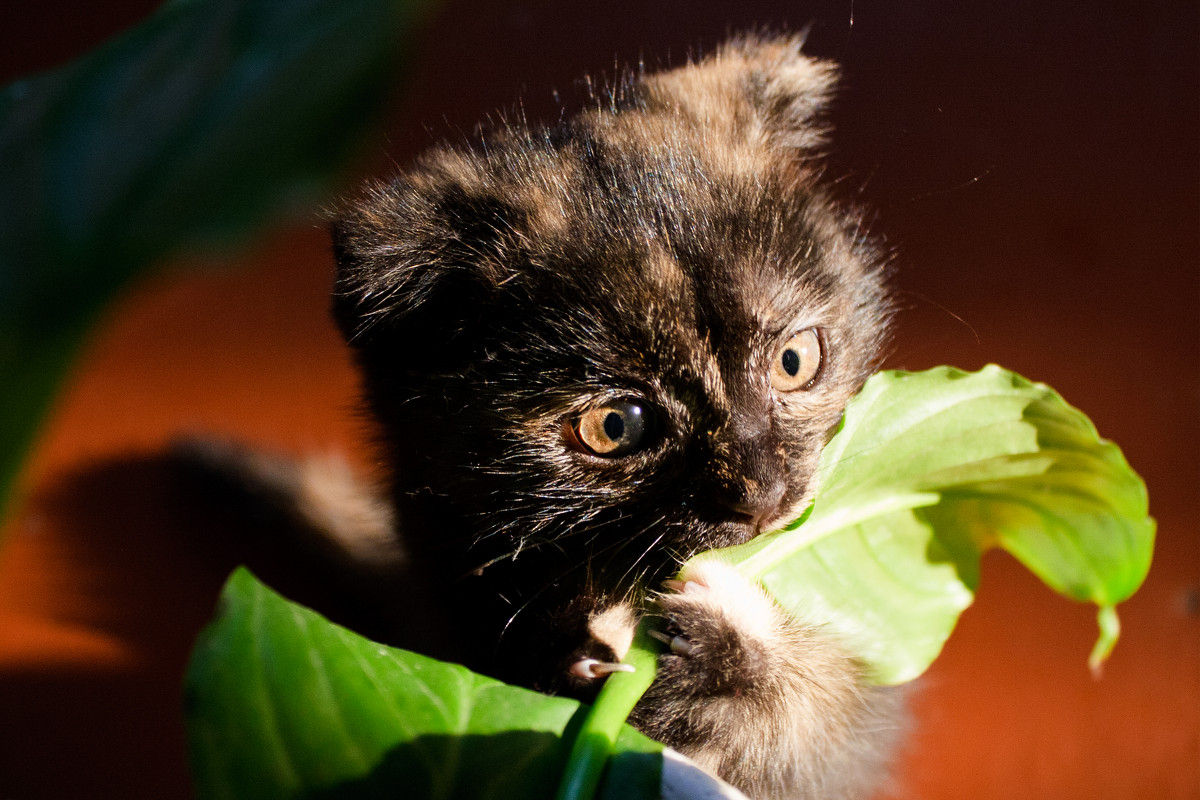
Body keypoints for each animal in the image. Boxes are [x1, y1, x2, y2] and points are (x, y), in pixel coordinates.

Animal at [211, 34, 902, 800]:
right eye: (615, 426)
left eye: (794, 360)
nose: (762, 494)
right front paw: (579, 643)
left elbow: (819, 723)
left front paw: (732, 652)